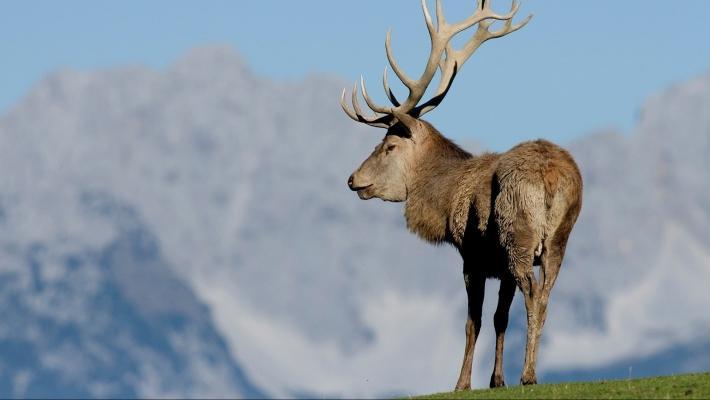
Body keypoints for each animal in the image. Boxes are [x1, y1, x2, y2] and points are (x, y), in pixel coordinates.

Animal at [340, 0, 584, 390]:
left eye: (389, 146)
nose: (353, 179)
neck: (445, 198)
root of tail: (552, 178)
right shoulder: (499, 264)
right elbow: (500, 318)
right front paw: (496, 380)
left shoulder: (472, 255)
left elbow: (474, 322)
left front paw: (462, 382)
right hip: (558, 240)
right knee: (545, 296)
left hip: (518, 232)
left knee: (533, 293)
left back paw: (529, 374)